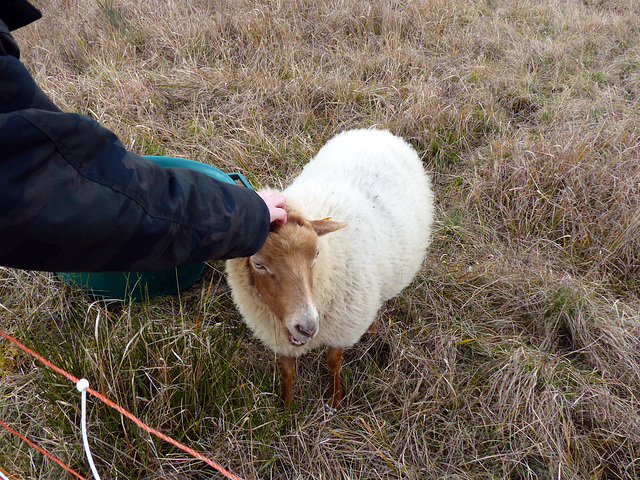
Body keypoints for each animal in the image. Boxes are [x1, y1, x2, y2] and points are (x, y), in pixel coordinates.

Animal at [226, 128, 436, 408]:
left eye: (316, 254)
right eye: (258, 264)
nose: (307, 326)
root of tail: (377, 131)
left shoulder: (342, 328)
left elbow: (333, 362)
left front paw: (335, 399)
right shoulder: (283, 337)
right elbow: (287, 370)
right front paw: (286, 407)